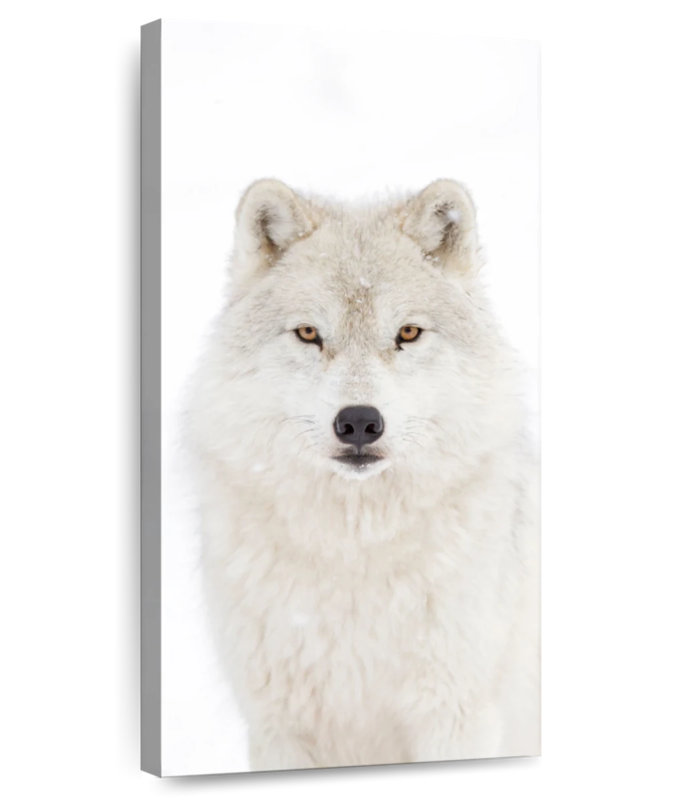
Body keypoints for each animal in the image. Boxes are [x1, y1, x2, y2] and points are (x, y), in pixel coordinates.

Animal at [186, 178, 539, 771]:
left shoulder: (454, 718)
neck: (353, 552)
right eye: (309, 332)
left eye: (408, 332)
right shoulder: (281, 728)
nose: (358, 422)